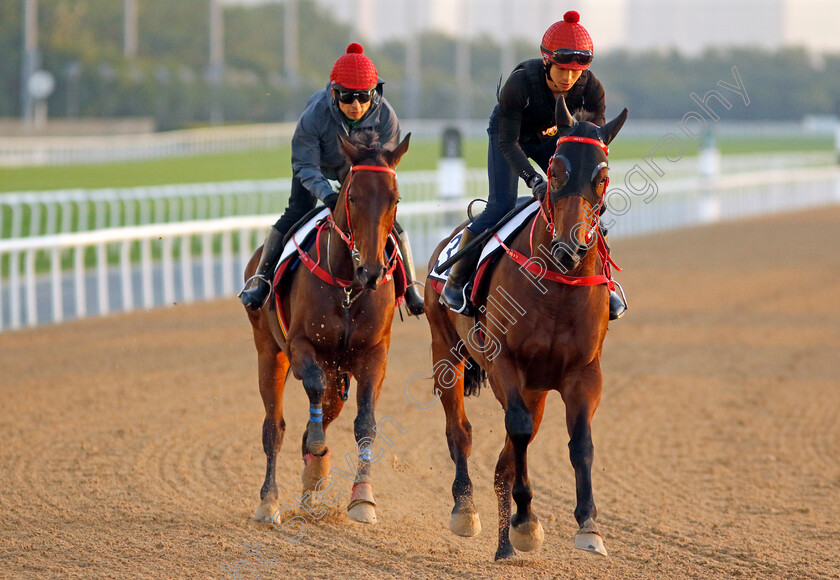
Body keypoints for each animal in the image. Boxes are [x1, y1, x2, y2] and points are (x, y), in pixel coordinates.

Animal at [244, 134, 412, 528]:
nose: (371, 270)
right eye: (352, 197)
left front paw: (363, 499)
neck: (348, 286)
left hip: (339, 377)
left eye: (395, 199)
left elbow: (365, 423)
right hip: (269, 354)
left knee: (318, 416)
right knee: (274, 427)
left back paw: (308, 496)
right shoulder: (301, 346)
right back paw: (269, 502)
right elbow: (312, 393)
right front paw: (320, 457)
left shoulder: (373, 355)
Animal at [426, 97, 632, 560]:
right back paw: (465, 510)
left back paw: (504, 548)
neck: (556, 287)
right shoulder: (505, 362)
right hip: (447, 350)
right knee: (459, 430)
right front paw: (525, 520)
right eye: (554, 171)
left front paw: (588, 525)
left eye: (602, 178)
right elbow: (516, 432)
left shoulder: (584, 371)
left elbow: (580, 441)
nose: (570, 248)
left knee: (504, 458)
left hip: (536, 387)